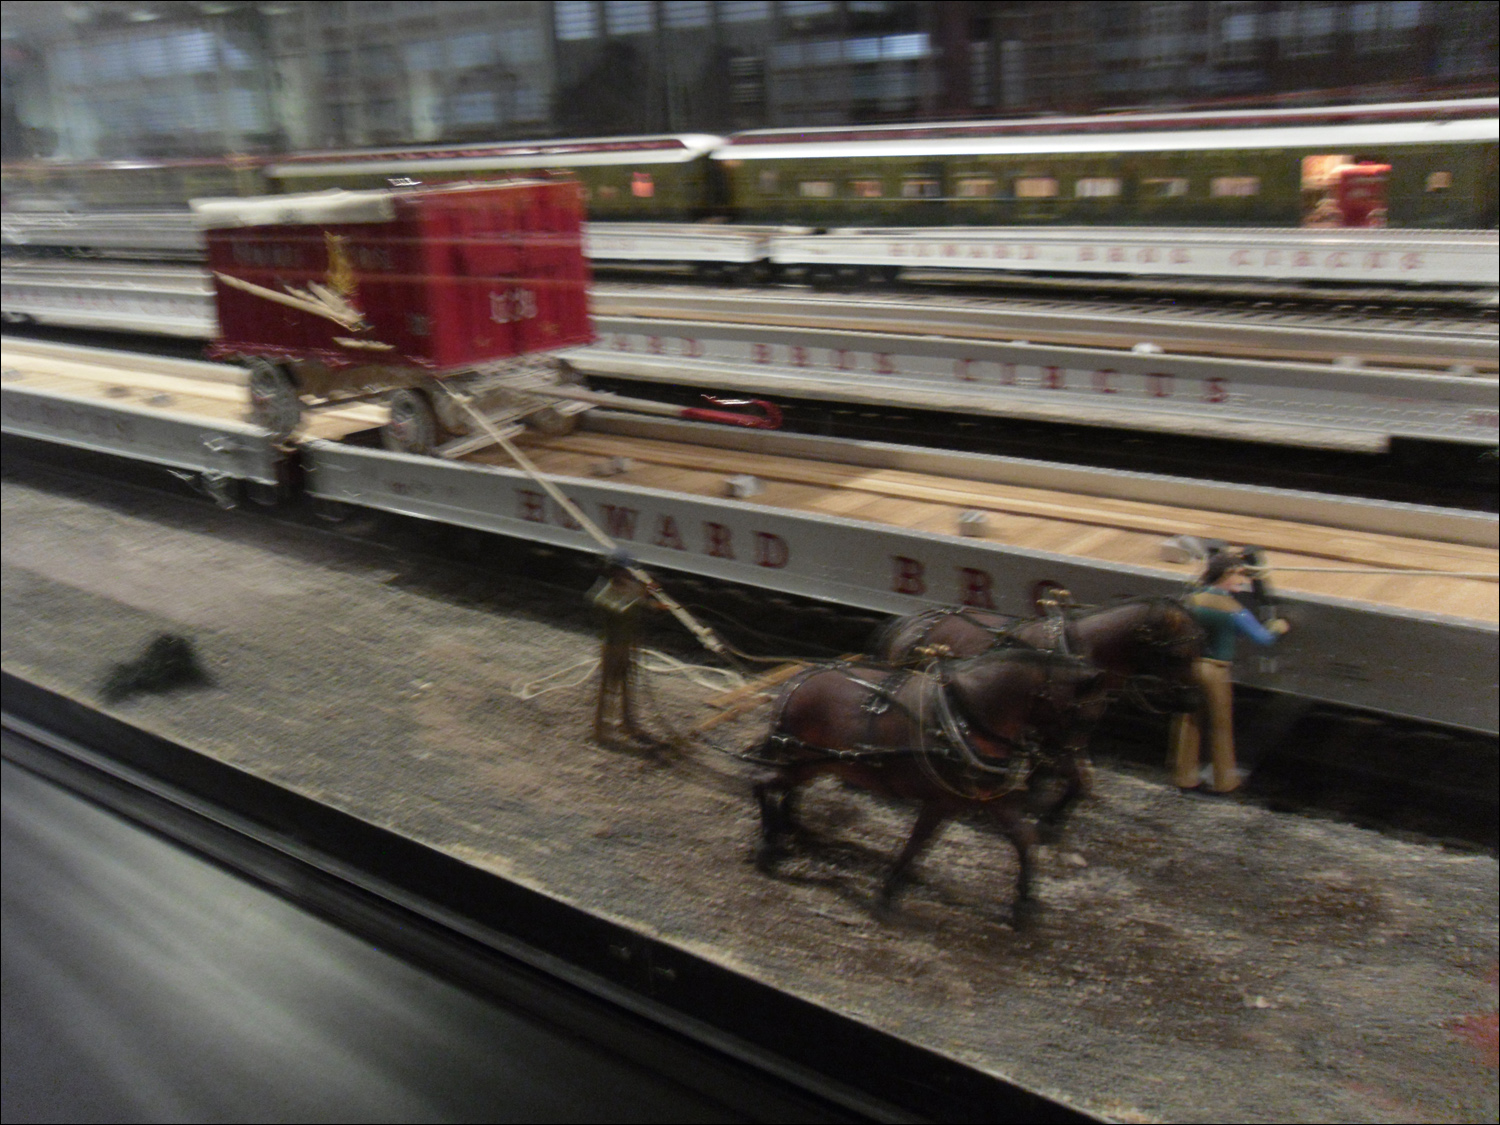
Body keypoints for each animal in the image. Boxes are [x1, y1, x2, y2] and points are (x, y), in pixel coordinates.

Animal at [750, 651, 1116, 918]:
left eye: (1095, 719)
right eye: (1081, 716)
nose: (1077, 774)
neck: (963, 719)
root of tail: (797, 681)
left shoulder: (991, 798)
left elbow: (1024, 840)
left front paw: (1025, 901)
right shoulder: (941, 801)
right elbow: (917, 842)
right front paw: (888, 889)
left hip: (812, 762)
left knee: (784, 787)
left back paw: (789, 824)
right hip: (801, 759)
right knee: (762, 783)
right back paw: (769, 839)